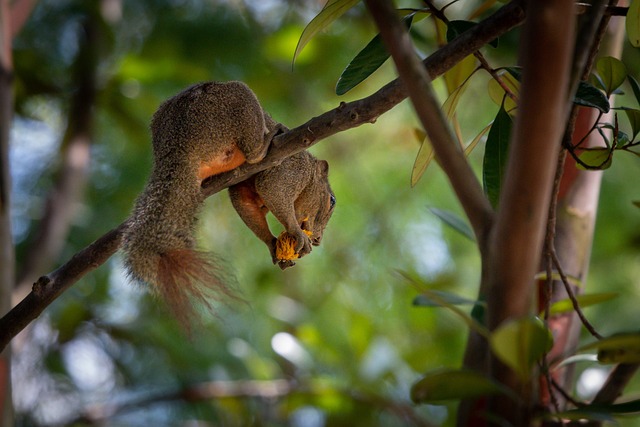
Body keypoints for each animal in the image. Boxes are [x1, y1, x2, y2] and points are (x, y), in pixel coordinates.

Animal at [122, 81, 338, 324]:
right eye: (332, 201)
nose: (318, 239)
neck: (308, 172)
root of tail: (176, 144)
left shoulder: (243, 187)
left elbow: (247, 205)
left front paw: (272, 244)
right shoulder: (291, 169)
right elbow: (272, 190)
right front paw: (297, 233)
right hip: (236, 108)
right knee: (253, 154)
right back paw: (268, 138)